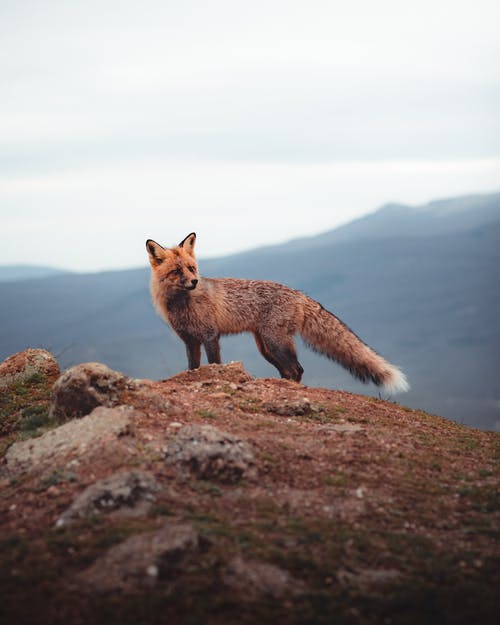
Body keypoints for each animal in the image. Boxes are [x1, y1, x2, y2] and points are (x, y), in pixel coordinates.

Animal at [146, 232, 410, 392]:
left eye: (191, 268)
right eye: (176, 271)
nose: (194, 282)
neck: (182, 305)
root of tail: (299, 294)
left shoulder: (211, 335)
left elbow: (214, 363)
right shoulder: (189, 341)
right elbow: (193, 367)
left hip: (275, 342)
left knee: (296, 369)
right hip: (266, 347)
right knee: (289, 370)